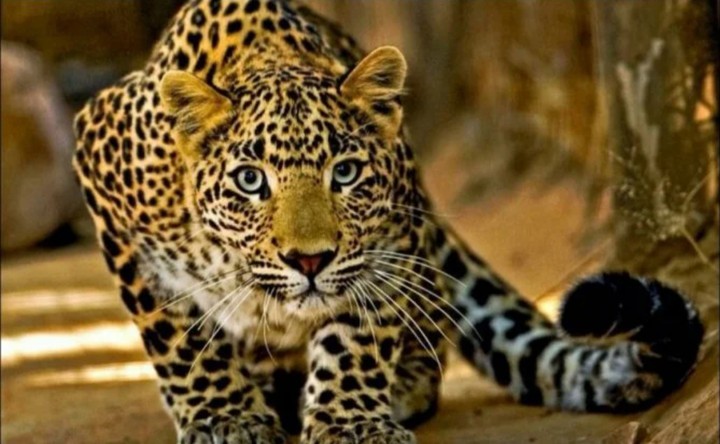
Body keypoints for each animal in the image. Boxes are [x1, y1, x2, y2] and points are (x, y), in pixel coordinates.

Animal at [72, 0, 705, 442]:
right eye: (250, 181)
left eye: (346, 172)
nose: (309, 260)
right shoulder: (102, 170)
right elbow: (179, 336)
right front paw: (225, 417)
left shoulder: (390, 238)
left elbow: (357, 334)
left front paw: (349, 421)